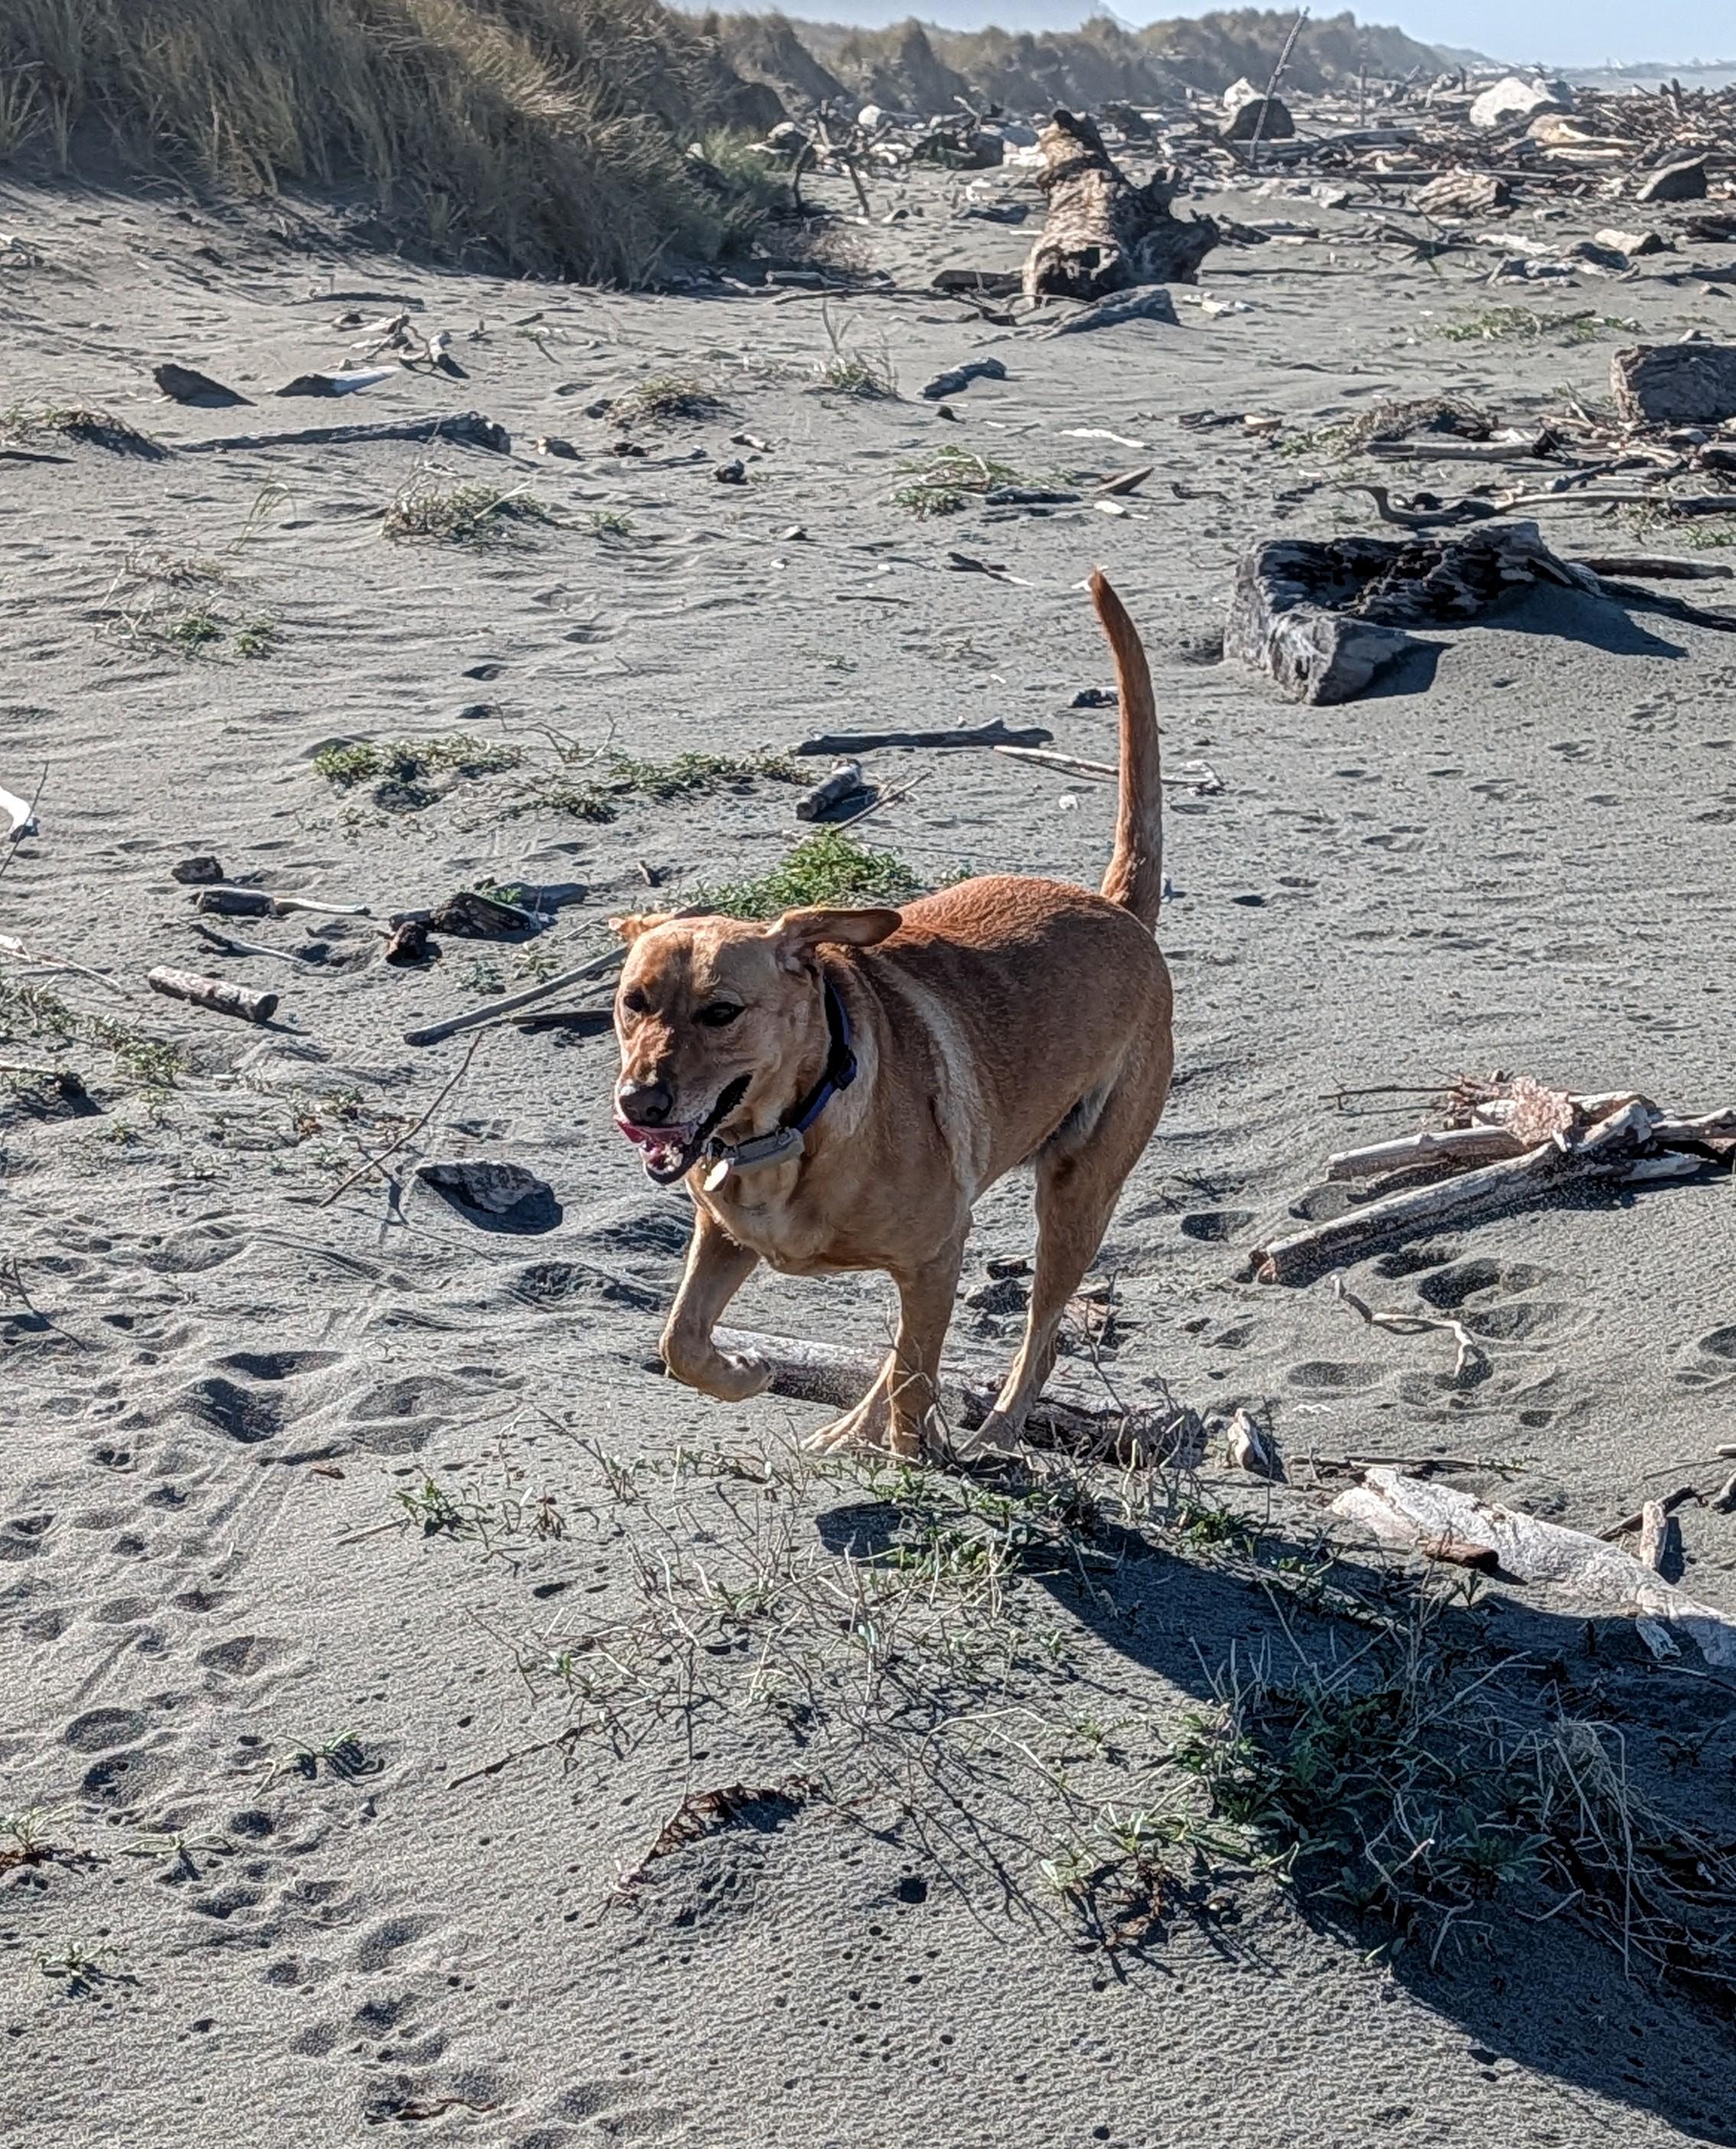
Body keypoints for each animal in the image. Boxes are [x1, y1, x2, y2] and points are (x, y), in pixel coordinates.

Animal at [610, 570, 1172, 1460]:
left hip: (1078, 1193)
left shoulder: (939, 1250)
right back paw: (850, 1426)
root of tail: (1117, 907)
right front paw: (745, 1371)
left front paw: (914, 1460)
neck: (793, 1124)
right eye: (633, 1003)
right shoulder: (724, 1235)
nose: (641, 1102)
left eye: (722, 1012)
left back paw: (991, 1433)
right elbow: (680, 1341)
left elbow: (916, 1379)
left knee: (1036, 1336)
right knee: (916, 1349)